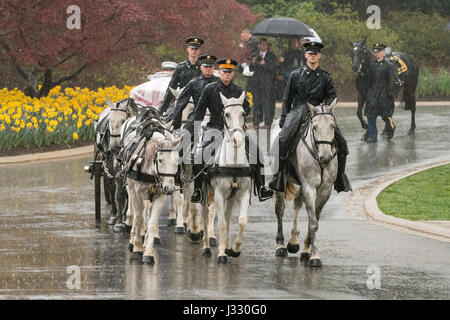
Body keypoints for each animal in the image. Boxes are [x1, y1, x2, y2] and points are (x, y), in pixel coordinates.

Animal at [199, 91, 251, 264]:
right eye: (226, 114)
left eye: (243, 113)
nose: (237, 139)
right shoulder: (219, 195)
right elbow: (220, 223)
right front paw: (221, 254)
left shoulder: (243, 193)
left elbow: (241, 221)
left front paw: (234, 249)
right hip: (204, 194)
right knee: (205, 216)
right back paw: (206, 247)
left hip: (231, 197)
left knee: (228, 217)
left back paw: (227, 246)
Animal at [270, 98, 338, 268]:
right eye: (314, 127)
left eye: (332, 126)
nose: (325, 157)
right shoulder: (309, 187)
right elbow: (313, 222)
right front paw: (315, 256)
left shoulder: (324, 190)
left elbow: (314, 220)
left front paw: (307, 251)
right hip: (282, 184)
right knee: (280, 210)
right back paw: (280, 245)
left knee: (297, 203)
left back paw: (294, 241)